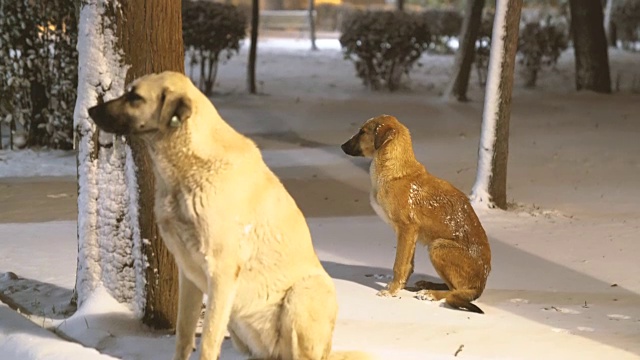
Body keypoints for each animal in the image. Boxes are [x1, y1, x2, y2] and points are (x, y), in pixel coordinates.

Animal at [342, 114, 492, 312]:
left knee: (455, 291)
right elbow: (408, 265)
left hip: (437, 247)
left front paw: (391, 291)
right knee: (453, 288)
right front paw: (400, 287)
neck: (394, 172)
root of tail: (481, 285)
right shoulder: (409, 233)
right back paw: (427, 285)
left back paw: (431, 293)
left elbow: (399, 265)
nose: (341, 146)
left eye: (362, 132)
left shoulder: (406, 229)